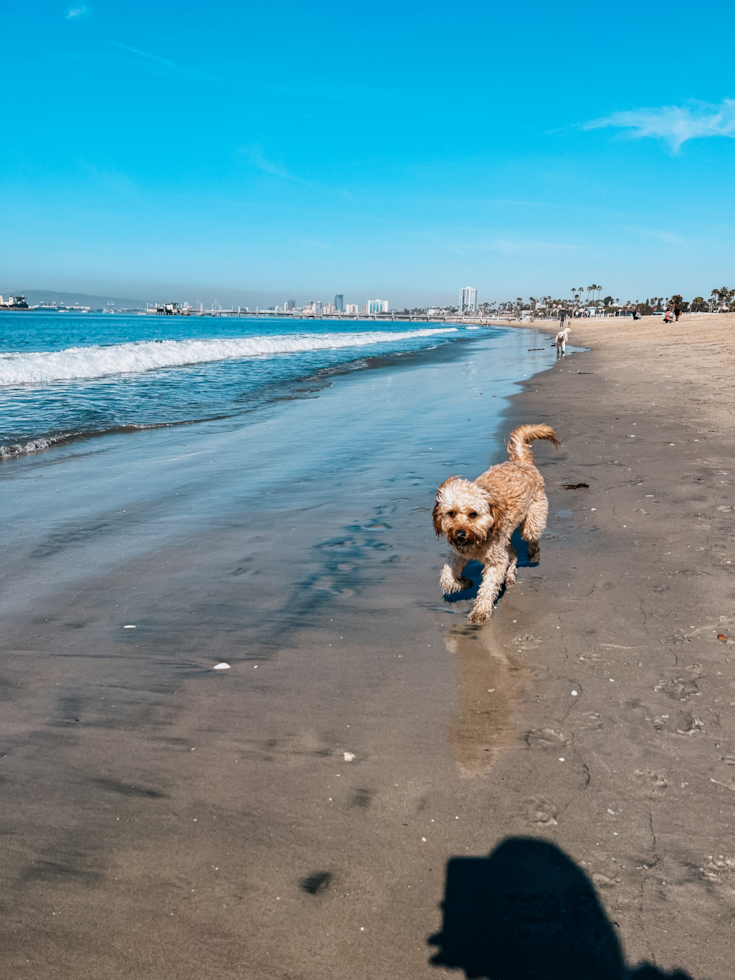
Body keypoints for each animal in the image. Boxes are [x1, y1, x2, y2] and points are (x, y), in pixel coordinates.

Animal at [434, 424, 560, 624]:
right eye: (451, 513)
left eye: (473, 514)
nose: (459, 534)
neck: (477, 540)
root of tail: (522, 463)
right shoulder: (458, 554)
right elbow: (446, 578)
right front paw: (464, 582)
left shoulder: (495, 562)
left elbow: (488, 587)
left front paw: (481, 611)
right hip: (505, 539)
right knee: (513, 554)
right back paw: (510, 574)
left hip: (531, 520)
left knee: (531, 538)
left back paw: (533, 554)